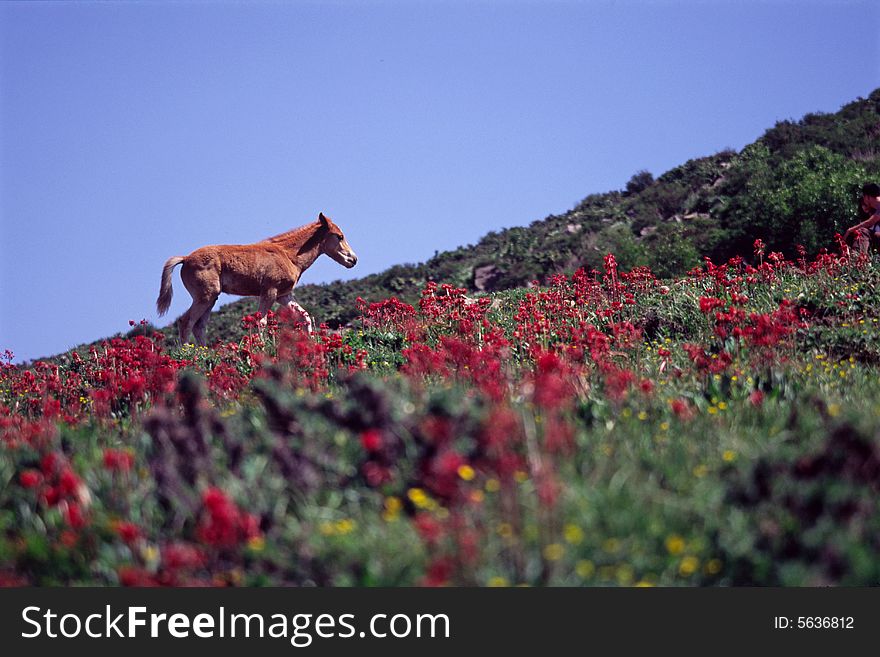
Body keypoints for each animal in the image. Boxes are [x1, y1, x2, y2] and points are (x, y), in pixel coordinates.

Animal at [156, 211, 356, 346]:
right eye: (339, 236)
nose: (353, 259)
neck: (288, 255)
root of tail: (185, 258)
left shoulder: (284, 295)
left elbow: (304, 316)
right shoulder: (269, 291)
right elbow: (261, 321)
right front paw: (263, 348)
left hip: (211, 298)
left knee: (199, 326)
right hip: (204, 296)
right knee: (186, 322)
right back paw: (188, 356)